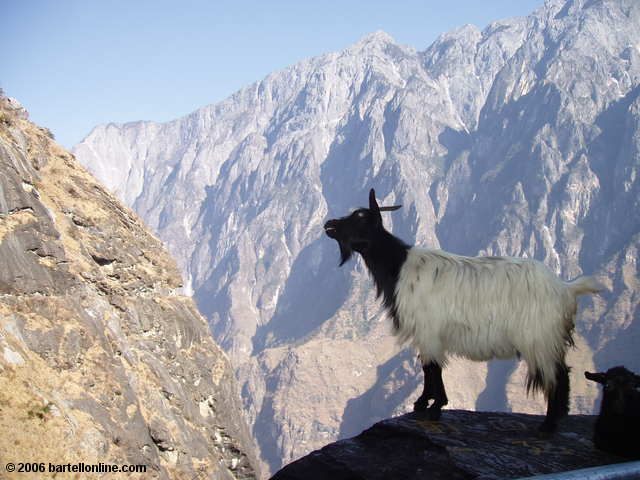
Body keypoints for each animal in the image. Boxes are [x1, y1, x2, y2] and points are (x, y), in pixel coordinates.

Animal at [328, 189, 604, 434]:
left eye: (360, 217)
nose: (329, 224)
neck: (399, 267)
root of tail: (565, 288)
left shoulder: (429, 331)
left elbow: (433, 368)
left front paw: (434, 406)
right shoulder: (425, 335)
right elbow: (428, 368)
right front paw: (424, 403)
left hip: (541, 339)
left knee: (557, 375)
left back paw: (548, 425)